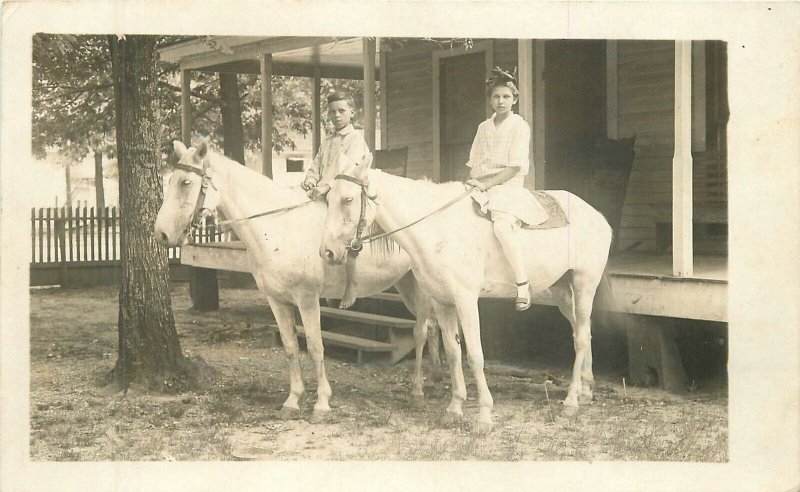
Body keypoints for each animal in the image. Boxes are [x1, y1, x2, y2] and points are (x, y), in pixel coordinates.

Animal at [153, 140, 440, 420]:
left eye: (186, 182)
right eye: (171, 179)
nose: (161, 234)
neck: (279, 227)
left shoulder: (307, 299)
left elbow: (314, 347)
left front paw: (321, 404)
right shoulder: (277, 301)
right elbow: (291, 346)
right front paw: (292, 401)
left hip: (420, 287)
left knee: (421, 332)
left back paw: (418, 391)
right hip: (407, 284)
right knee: (434, 328)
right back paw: (435, 379)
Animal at [318, 164, 612, 430]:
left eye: (348, 199)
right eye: (328, 200)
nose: (327, 252)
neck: (438, 228)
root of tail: (599, 217)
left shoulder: (466, 301)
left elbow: (475, 355)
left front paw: (484, 416)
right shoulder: (442, 302)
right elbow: (452, 351)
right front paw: (454, 408)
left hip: (584, 285)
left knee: (580, 338)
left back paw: (571, 402)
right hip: (562, 289)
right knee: (582, 330)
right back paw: (586, 390)